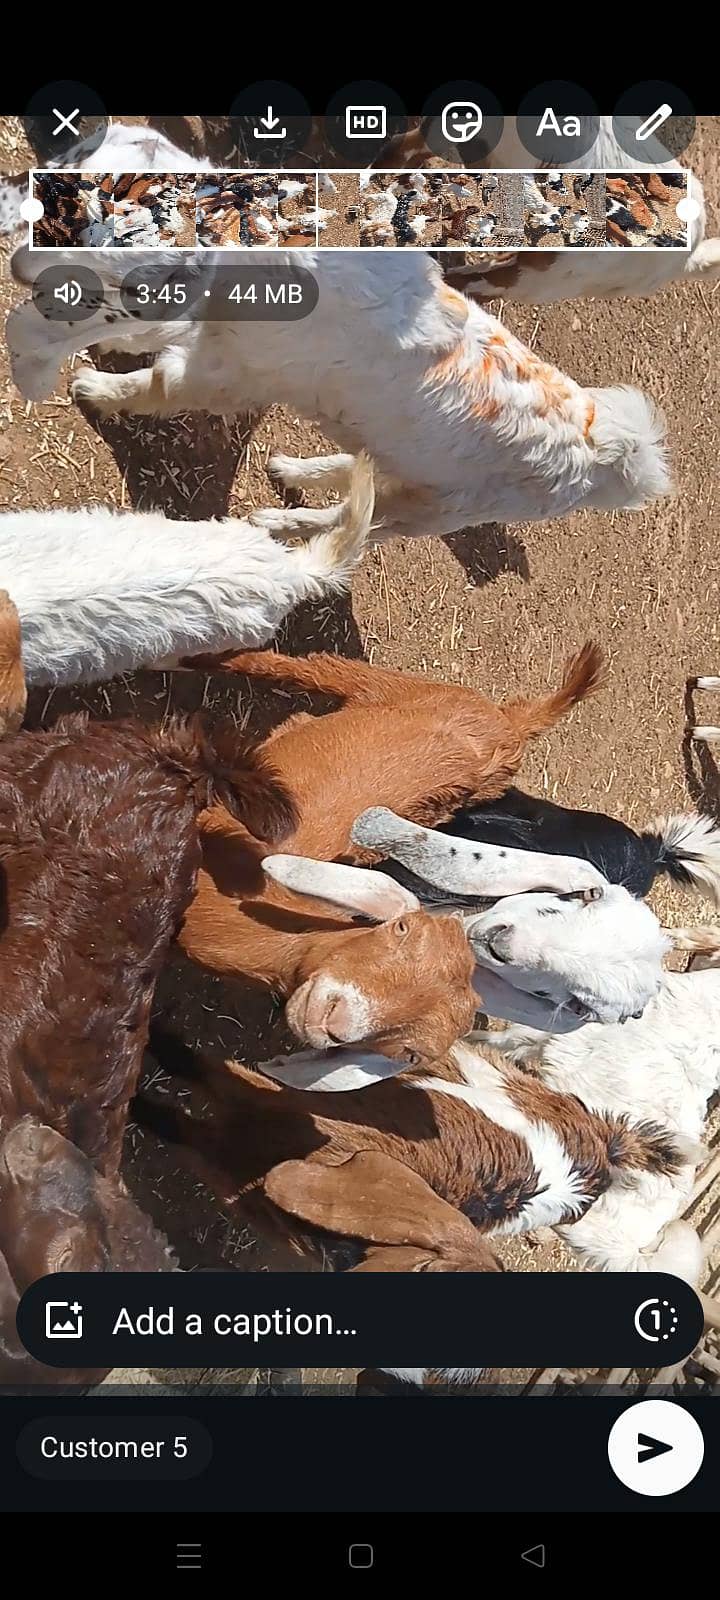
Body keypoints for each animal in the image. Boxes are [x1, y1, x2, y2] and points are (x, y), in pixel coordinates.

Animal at [9, 249, 670, 538]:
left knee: (363, 521)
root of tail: (611, 457)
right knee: (361, 470)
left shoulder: (227, 371)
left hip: (440, 511)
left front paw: (97, 388)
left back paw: (280, 519)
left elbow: (160, 383)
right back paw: (292, 469)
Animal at [173, 641, 631, 1056]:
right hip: (392, 686)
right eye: (400, 930)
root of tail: (510, 726)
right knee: (300, 666)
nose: (331, 1021)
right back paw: (197, 658)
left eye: (412, 1053)